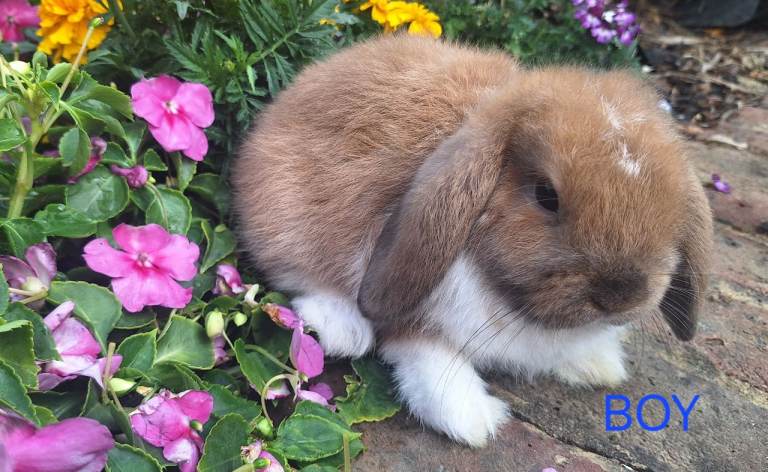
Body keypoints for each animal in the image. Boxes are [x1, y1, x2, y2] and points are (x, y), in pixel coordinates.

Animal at [232, 35, 713, 447]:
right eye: (546, 195)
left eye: (669, 200)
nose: (621, 294)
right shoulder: (417, 308)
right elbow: (429, 360)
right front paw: (473, 420)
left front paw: (598, 362)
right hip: (285, 214)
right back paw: (342, 328)